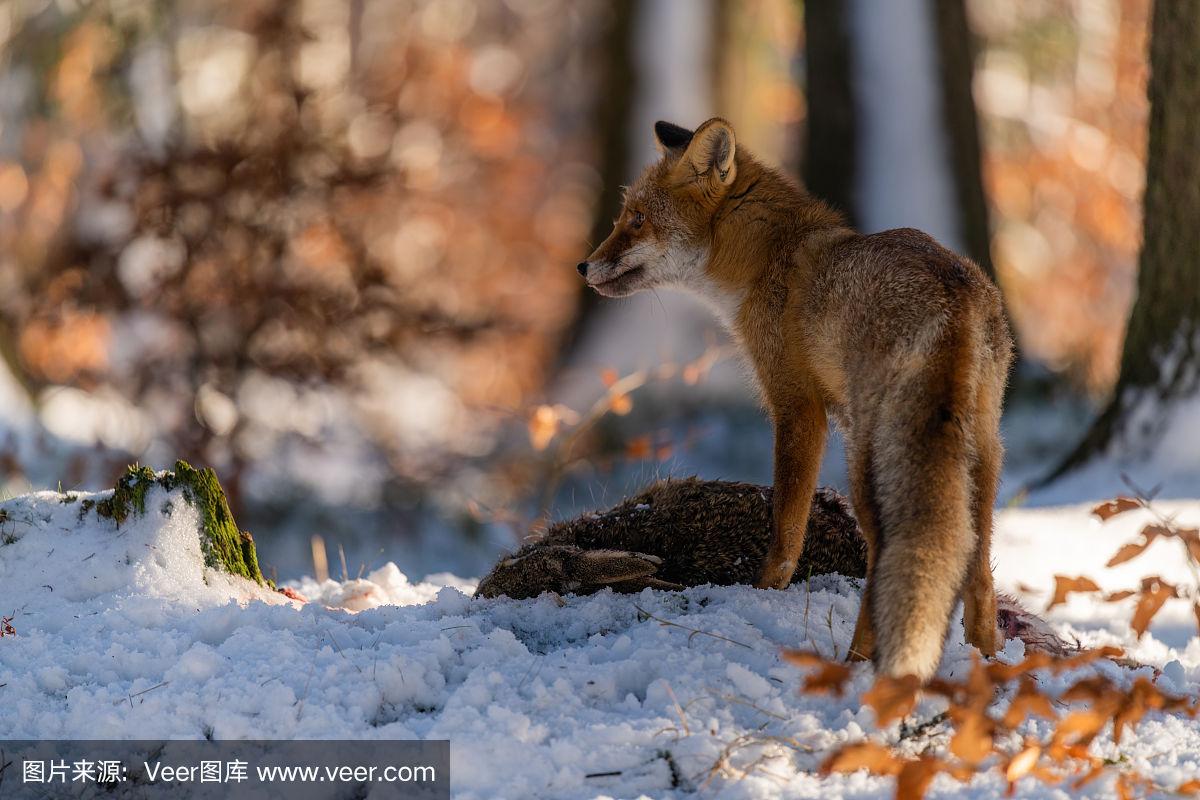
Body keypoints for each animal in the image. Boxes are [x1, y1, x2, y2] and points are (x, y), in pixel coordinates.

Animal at [578, 118, 1012, 681]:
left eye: (637, 220)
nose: (582, 267)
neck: (767, 260)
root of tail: (952, 296)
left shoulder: (797, 406)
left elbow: (786, 530)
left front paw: (761, 592)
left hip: (869, 461)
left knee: (886, 560)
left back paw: (857, 665)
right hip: (983, 453)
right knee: (979, 571)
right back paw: (991, 667)